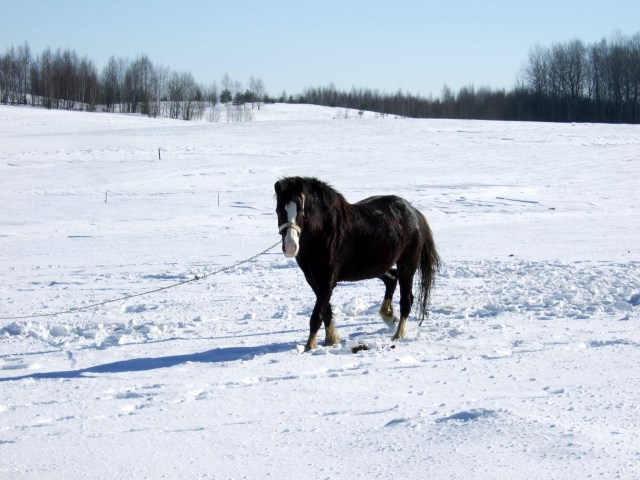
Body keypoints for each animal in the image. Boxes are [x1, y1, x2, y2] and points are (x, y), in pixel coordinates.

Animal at [274, 176, 440, 351]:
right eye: (279, 210)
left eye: (301, 211)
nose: (290, 247)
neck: (323, 232)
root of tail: (413, 211)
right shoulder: (313, 280)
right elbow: (326, 310)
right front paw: (331, 340)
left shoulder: (328, 280)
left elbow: (317, 314)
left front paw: (309, 347)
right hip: (374, 266)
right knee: (391, 279)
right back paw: (388, 315)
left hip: (407, 264)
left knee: (406, 299)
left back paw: (397, 335)